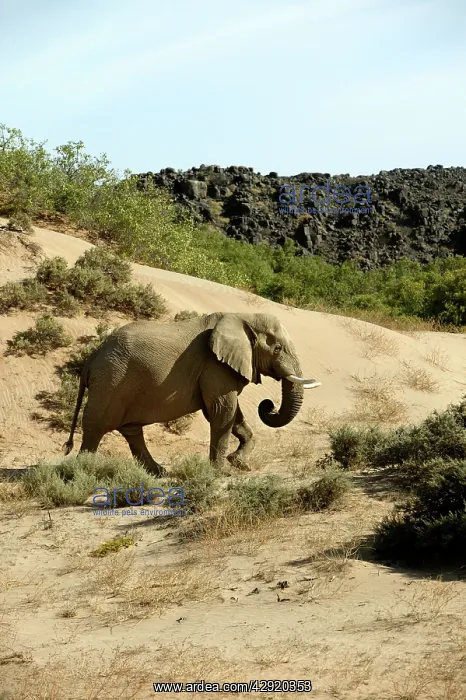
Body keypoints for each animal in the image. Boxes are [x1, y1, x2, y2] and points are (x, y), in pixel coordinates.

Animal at [64, 312, 321, 476]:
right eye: (277, 348)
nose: (268, 405)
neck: (243, 316)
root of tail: (92, 357)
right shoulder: (215, 366)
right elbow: (222, 410)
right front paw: (219, 472)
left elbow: (229, 413)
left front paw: (239, 464)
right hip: (111, 380)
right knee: (96, 426)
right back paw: (82, 471)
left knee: (131, 430)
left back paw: (159, 473)